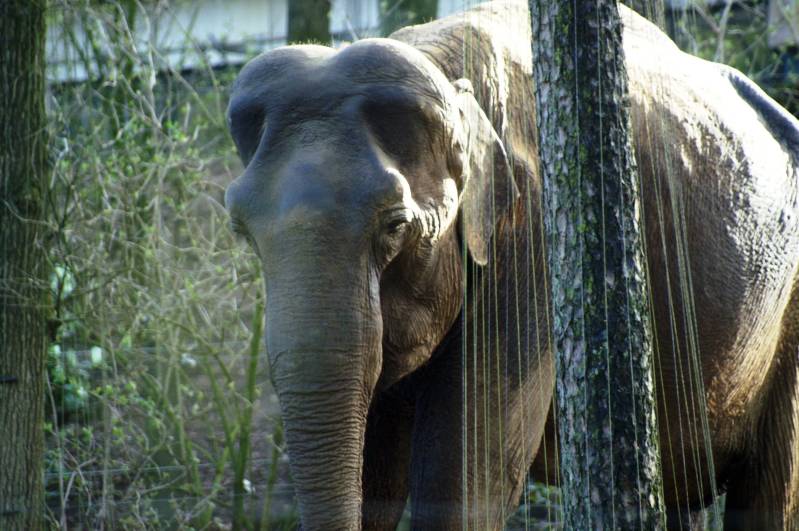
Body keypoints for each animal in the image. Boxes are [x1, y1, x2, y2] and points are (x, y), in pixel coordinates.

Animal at [223, 1, 799, 529]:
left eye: (395, 224)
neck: (444, 64)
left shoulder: (530, 244)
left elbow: (466, 477)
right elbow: (376, 466)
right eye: (241, 230)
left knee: (772, 491)